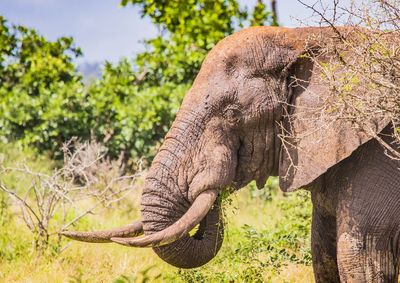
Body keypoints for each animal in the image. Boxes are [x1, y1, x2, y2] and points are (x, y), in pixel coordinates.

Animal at [61, 26, 398, 282]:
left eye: (233, 114)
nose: (207, 188)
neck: (305, 38)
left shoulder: (383, 152)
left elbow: (362, 256)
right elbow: (322, 254)